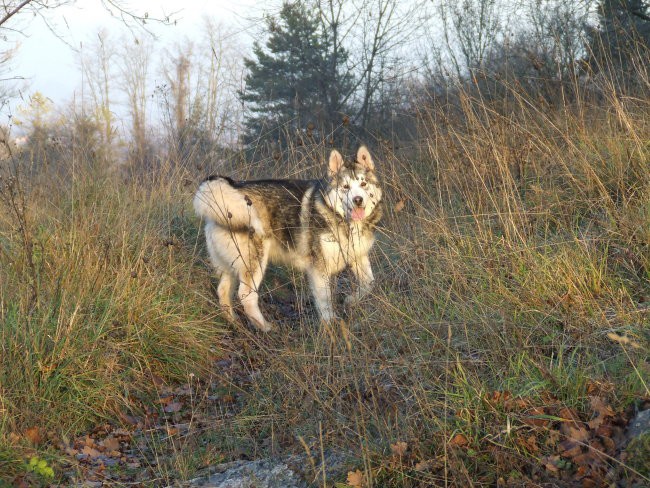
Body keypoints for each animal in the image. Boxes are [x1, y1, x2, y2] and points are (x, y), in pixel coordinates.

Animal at [191, 146, 380, 332]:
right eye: (345, 187)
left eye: (363, 184)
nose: (358, 200)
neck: (342, 219)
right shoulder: (319, 268)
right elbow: (325, 300)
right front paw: (330, 325)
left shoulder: (358, 256)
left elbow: (369, 283)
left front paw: (351, 300)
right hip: (255, 263)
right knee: (246, 296)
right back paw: (265, 327)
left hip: (231, 265)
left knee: (223, 291)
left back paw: (234, 322)